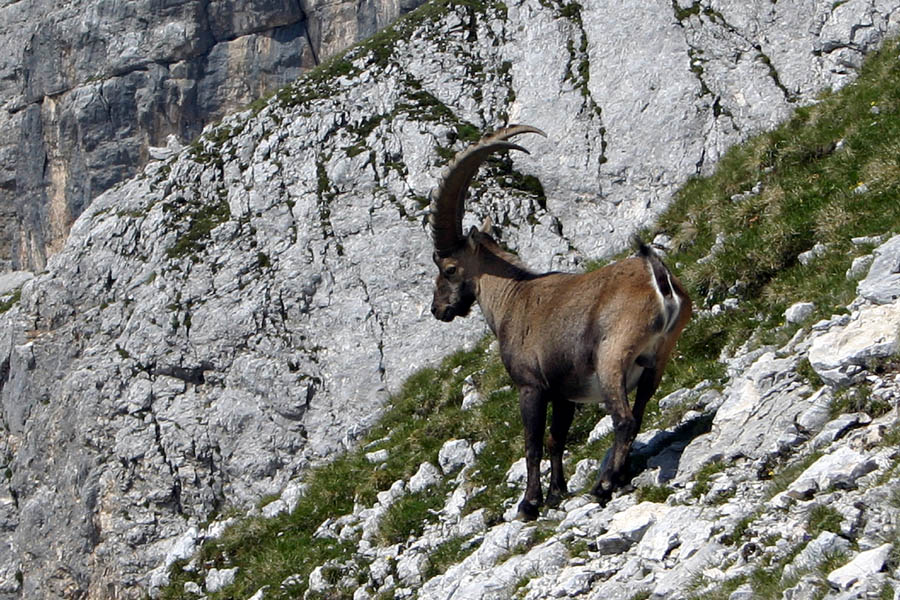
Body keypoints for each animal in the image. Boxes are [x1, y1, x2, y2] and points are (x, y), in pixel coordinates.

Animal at [428, 125, 692, 520]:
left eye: (448, 268)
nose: (438, 309)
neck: (512, 299)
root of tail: (658, 278)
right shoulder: (565, 391)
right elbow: (556, 439)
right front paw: (555, 493)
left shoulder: (531, 387)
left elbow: (533, 443)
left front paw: (529, 503)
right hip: (657, 360)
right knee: (639, 412)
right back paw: (619, 476)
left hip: (612, 357)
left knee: (624, 419)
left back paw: (603, 485)